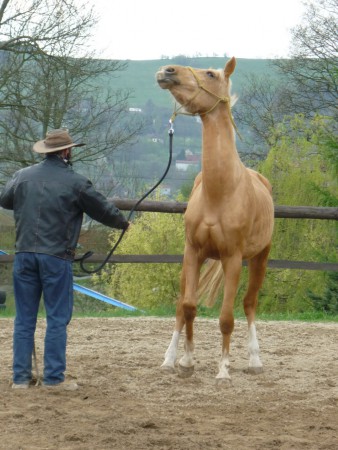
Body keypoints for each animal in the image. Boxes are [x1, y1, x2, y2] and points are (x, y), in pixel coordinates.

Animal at [156, 54, 274, 382]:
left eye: (210, 73)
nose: (167, 70)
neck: (221, 190)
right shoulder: (193, 253)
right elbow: (188, 307)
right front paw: (185, 361)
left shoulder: (233, 258)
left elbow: (226, 318)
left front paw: (223, 369)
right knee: (180, 307)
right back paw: (168, 359)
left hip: (259, 258)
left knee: (249, 303)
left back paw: (255, 360)